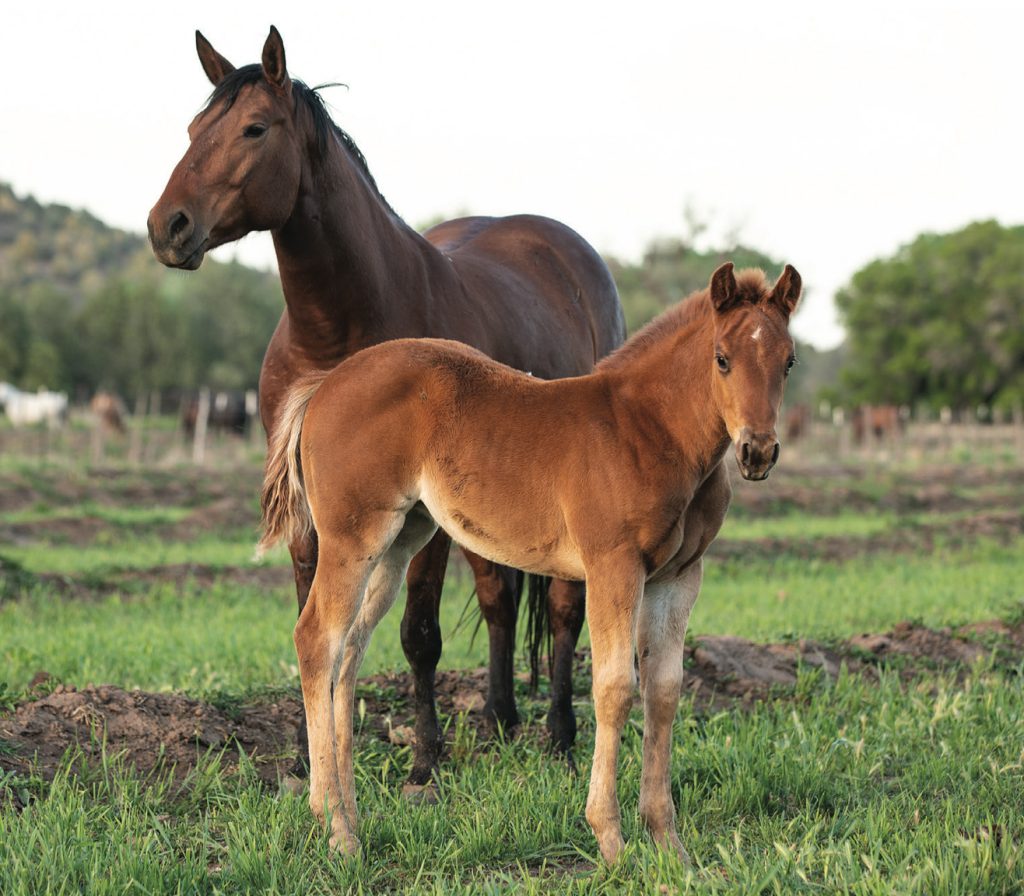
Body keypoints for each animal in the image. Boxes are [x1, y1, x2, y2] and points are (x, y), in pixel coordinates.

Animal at [147, 26, 625, 786]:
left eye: (255, 128)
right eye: (195, 129)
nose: (168, 226)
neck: (338, 331)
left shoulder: (419, 512)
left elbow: (419, 633)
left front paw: (425, 758)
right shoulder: (312, 510)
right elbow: (318, 621)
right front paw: (314, 755)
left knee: (562, 607)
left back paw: (558, 735)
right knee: (498, 598)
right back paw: (499, 720)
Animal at [260, 263, 802, 862]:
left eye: (789, 360)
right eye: (722, 357)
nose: (757, 452)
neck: (649, 429)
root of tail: (326, 384)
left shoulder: (678, 578)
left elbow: (663, 692)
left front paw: (669, 845)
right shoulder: (614, 566)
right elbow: (615, 688)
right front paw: (611, 840)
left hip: (401, 539)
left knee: (349, 651)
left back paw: (350, 817)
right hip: (351, 537)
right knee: (316, 640)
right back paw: (335, 825)